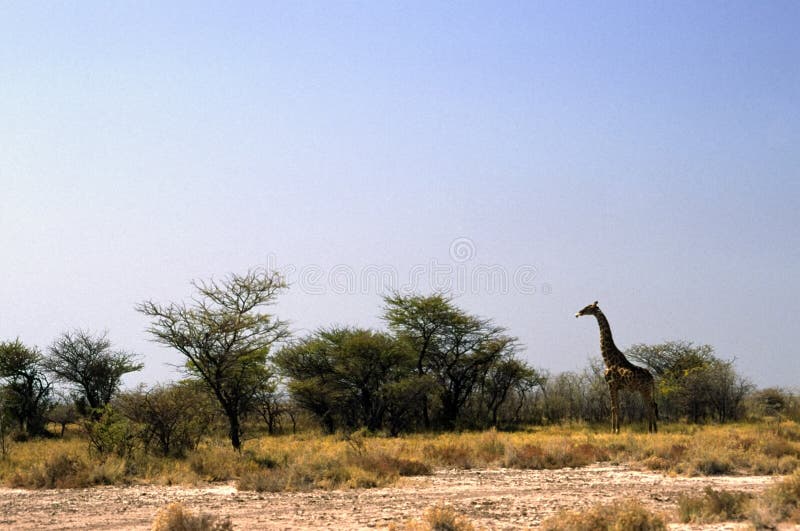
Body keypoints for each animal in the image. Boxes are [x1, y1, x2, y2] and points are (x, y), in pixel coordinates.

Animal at [580, 302, 660, 434]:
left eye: (588, 307)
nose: (579, 312)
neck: (608, 359)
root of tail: (652, 378)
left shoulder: (611, 384)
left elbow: (613, 407)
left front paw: (614, 430)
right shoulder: (617, 387)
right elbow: (617, 407)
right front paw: (617, 429)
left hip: (644, 389)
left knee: (650, 406)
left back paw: (651, 430)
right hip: (645, 390)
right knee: (652, 405)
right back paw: (654, 430)